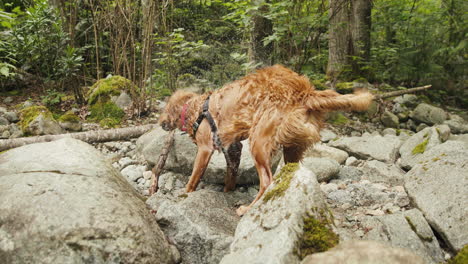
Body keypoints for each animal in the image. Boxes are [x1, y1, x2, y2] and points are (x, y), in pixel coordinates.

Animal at [160, 65, 372, 216]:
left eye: (165, 110)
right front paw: (228, 191)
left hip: (258, 143)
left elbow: (193, 178)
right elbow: (230, 176)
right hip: (292, 148)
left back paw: (248, 209)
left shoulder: (205, 148)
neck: (197, 109)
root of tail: (304, 92)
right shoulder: (233, 149)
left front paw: (185, 194)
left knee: (267, 181)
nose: (160, 122)